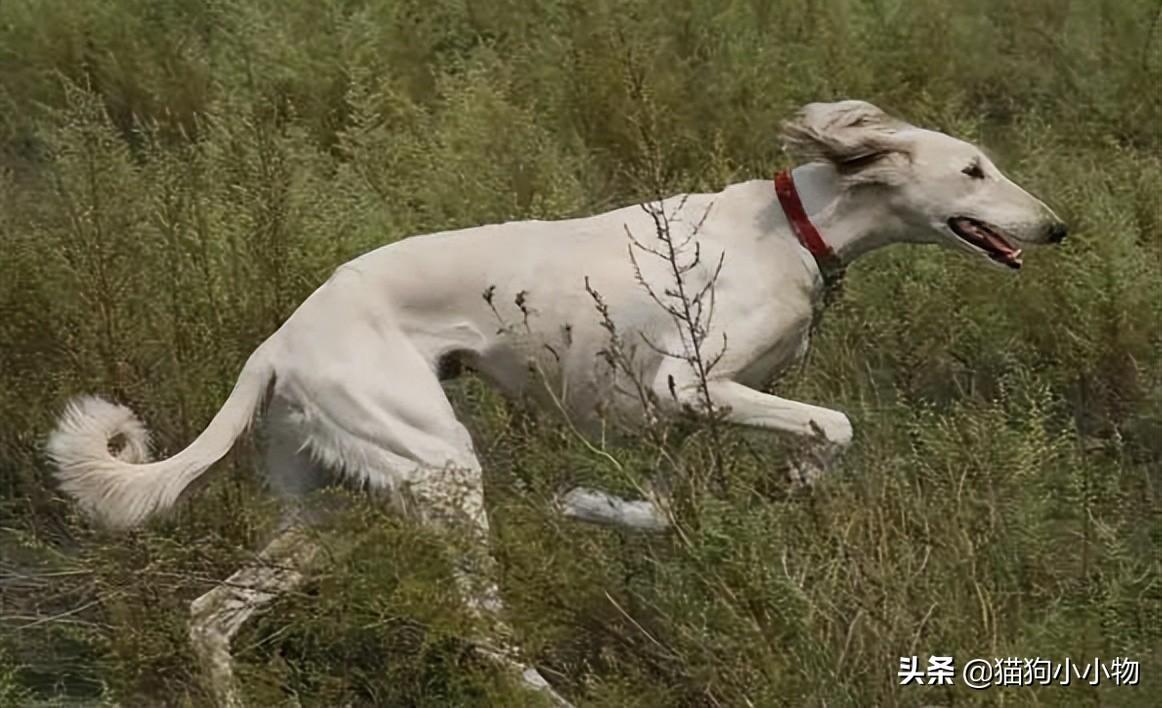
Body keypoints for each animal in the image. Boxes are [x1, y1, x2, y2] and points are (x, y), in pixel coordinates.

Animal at [45, 100, 1064, 706]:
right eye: (973, 170)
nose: (1057, 227)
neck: (793, 227)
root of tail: (277, 343)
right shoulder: (690, 384)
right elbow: (834, 425)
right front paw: (802, 479)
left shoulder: (678, 416)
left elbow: (658, 510)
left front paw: (587, 505)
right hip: (443, 471)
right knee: (486, 635)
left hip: (333, 507)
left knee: (210, 612)